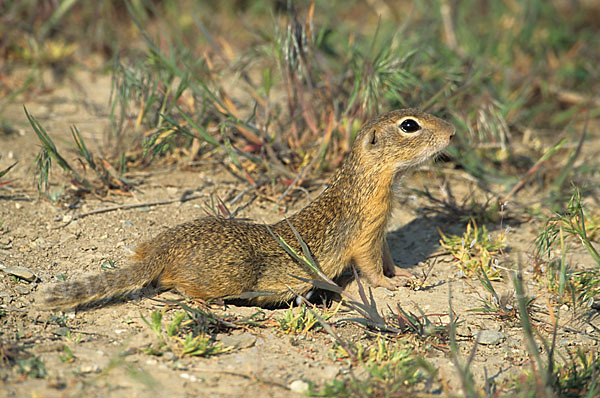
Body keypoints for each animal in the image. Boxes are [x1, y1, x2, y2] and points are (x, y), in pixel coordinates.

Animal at [38, 109, 454, 310]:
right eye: (409, 125)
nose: (452, 132)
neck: (370, 181)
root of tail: (163, 252)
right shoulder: (365, 233)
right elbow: (370, 269)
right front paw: (392, 283)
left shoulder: (380, 232)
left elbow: (388, 257)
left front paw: (405, 272)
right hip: (231, 277)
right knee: (181, 289)